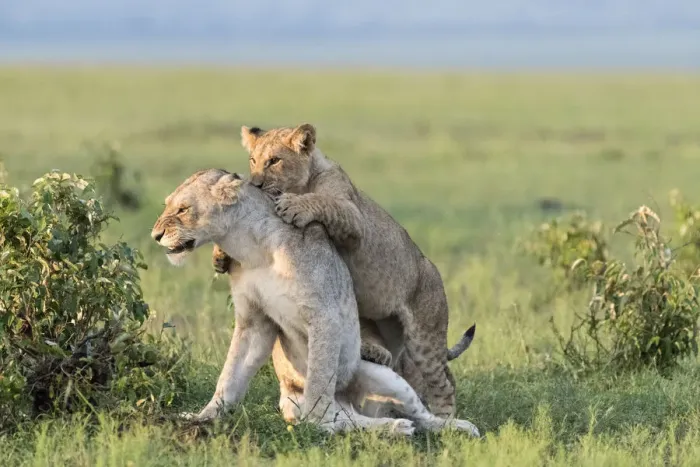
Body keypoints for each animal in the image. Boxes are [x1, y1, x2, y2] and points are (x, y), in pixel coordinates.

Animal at [151, 168, 480, 436]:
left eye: (183, 209)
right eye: (168, 205)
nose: (155, 235)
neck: (251, 247)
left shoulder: (324, 315)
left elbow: (319, 377)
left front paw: (314, 423)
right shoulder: (254, 321)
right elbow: (231, 376)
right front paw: (203, 417)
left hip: (384, 373)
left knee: (422, 415)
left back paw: (458, 426)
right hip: (305, 401)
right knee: (353, 422)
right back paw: (394, 428)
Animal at [211, 124, 472, 417]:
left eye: (275, 160)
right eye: (253, 160)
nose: (254, 184)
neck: (302, 183)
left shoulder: (353, 218)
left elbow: (326, 203)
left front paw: (294, 206)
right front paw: (219, 255)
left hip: (425, 336)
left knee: (444, 379)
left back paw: (445, 419)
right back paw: (376, 356)